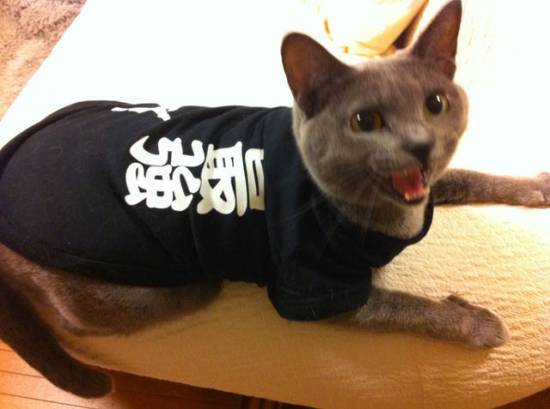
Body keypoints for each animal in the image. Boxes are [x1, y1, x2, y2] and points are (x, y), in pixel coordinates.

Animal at [0, 0, 549, 398]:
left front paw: (537, 186)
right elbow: (409, 305)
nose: (419, 145)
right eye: (364, 121)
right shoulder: (317, 291)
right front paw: (479, 323)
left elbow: (467, 175)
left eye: (435, 104)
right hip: (153, 287)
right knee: (72, 321)